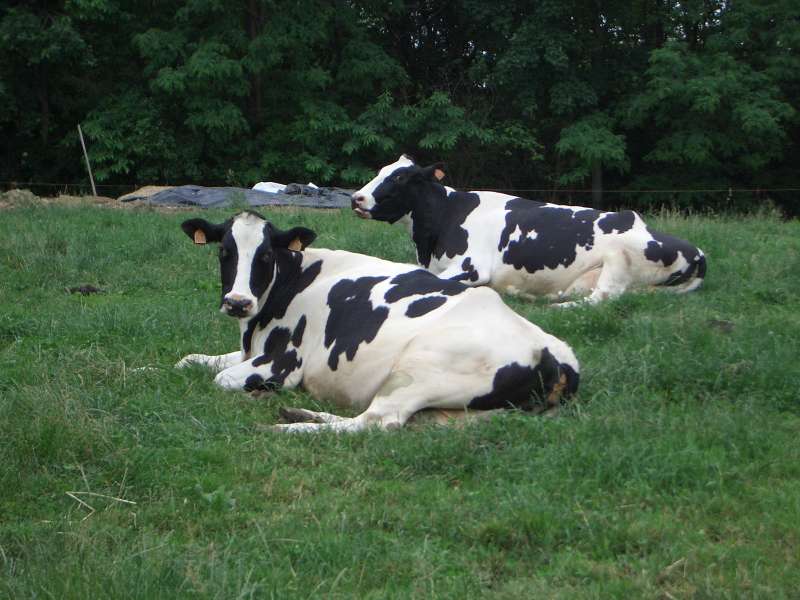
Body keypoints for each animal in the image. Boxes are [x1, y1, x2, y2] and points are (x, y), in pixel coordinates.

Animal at [175, 211, 580, 432]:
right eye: (224, 251)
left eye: (265, 255)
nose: (238, 302)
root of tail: (551, 350)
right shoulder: (249, 352)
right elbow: (187, 361)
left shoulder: (282, 362)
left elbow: (221, 379)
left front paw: (260, 391)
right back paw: (299, 413)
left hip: (419, 371)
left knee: (376, 422)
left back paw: (287, 427)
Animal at [352, 156, 708, 304]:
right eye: (381, 170)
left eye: (400, 177)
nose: (357, 198)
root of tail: (699, 253)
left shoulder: (472, 267)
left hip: (620, 256)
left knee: (603, 298)